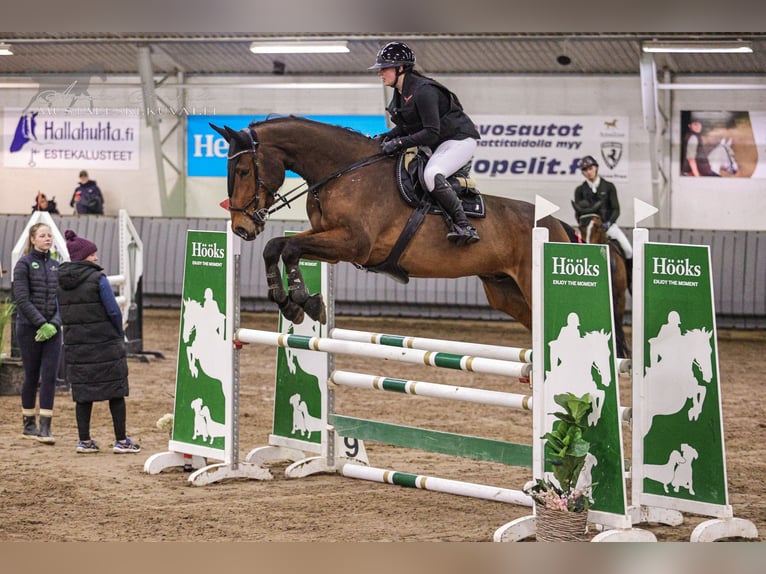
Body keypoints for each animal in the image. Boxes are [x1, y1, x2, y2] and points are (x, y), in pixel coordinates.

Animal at [207, 116, 580, 332]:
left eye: (243, 171)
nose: (241, 227)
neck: (345, 171)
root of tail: (557, 224)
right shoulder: (333, 240)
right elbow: (278, 246)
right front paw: (291, 303)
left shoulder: (354, 243)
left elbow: (290, 248)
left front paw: (303, 300)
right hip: (504, 290)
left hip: (529, 284)